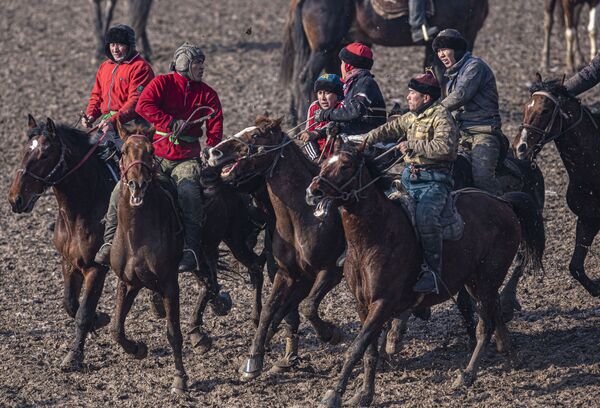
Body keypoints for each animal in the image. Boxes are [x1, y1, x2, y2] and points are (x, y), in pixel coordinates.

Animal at [8, 115, 115, 370]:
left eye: (45, 154)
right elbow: (70, 304)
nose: (16, 199)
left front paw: (74, 356)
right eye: (24, 151)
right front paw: (100, 319)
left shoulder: (97, 268)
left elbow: (83, 312)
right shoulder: (69, 262)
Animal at [207, 117, 346, 382]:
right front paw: (254, 359)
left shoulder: (330, 271)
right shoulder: (288, 274)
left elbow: (308, 306)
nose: (213, 152)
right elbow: (271, 310)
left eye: (255, 135)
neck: (305, 216)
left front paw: (330, 333)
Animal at [308, 145, 548, 406]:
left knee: (484, 325)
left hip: (486, 279)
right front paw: (363, 394)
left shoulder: (382, 303)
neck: (374, 237)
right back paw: (510, 353)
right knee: (492, 312)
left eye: (345, 166)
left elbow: (356, 348)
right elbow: (368, 351)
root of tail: (503, 202)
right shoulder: (363, 305)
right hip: (477, 282)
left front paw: (334, 394)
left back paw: (467, 375)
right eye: (323, 164)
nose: (313, 191)